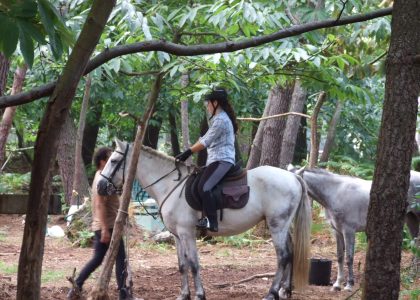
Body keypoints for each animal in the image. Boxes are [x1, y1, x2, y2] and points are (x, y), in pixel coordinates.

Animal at [97, 141, 310, 300]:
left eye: (114, 160)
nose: (100, 186)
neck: (170, 186)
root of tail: (293, 177)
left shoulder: (187, 233)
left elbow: (193, 264)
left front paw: (199, 294)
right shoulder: (177, 236)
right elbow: (182, 265)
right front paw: (183, 295)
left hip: (277, 226)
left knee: (283, 256)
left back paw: (272, 293)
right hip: (283, 226)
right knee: (290, 253)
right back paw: (284, 290)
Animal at [292, 166, 420, 290]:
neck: (335, 193)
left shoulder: (348, 231)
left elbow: (349, 258)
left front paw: (349, 284)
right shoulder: (337, 231)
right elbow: (340, 257)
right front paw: (337, 284)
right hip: (410, 219)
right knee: (416, 243)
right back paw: (412, 273)